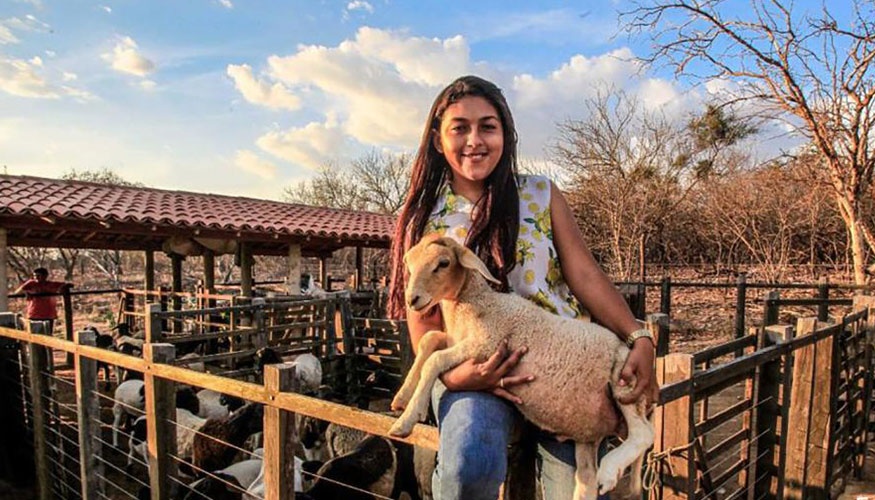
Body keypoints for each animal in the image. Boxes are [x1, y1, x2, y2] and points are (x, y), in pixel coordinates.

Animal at [386, 235, 652, 500]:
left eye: (443, 263)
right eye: (408, 262)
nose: (412, 300)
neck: (476, 306)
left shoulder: (487, 345)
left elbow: (435, 360)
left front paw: (407, 420)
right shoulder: (458, 341)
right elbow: (429, 340)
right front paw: (402, 397)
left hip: (625, 383)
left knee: (643, 434)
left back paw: (609, 470)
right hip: (587, 436)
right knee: (586, 479)